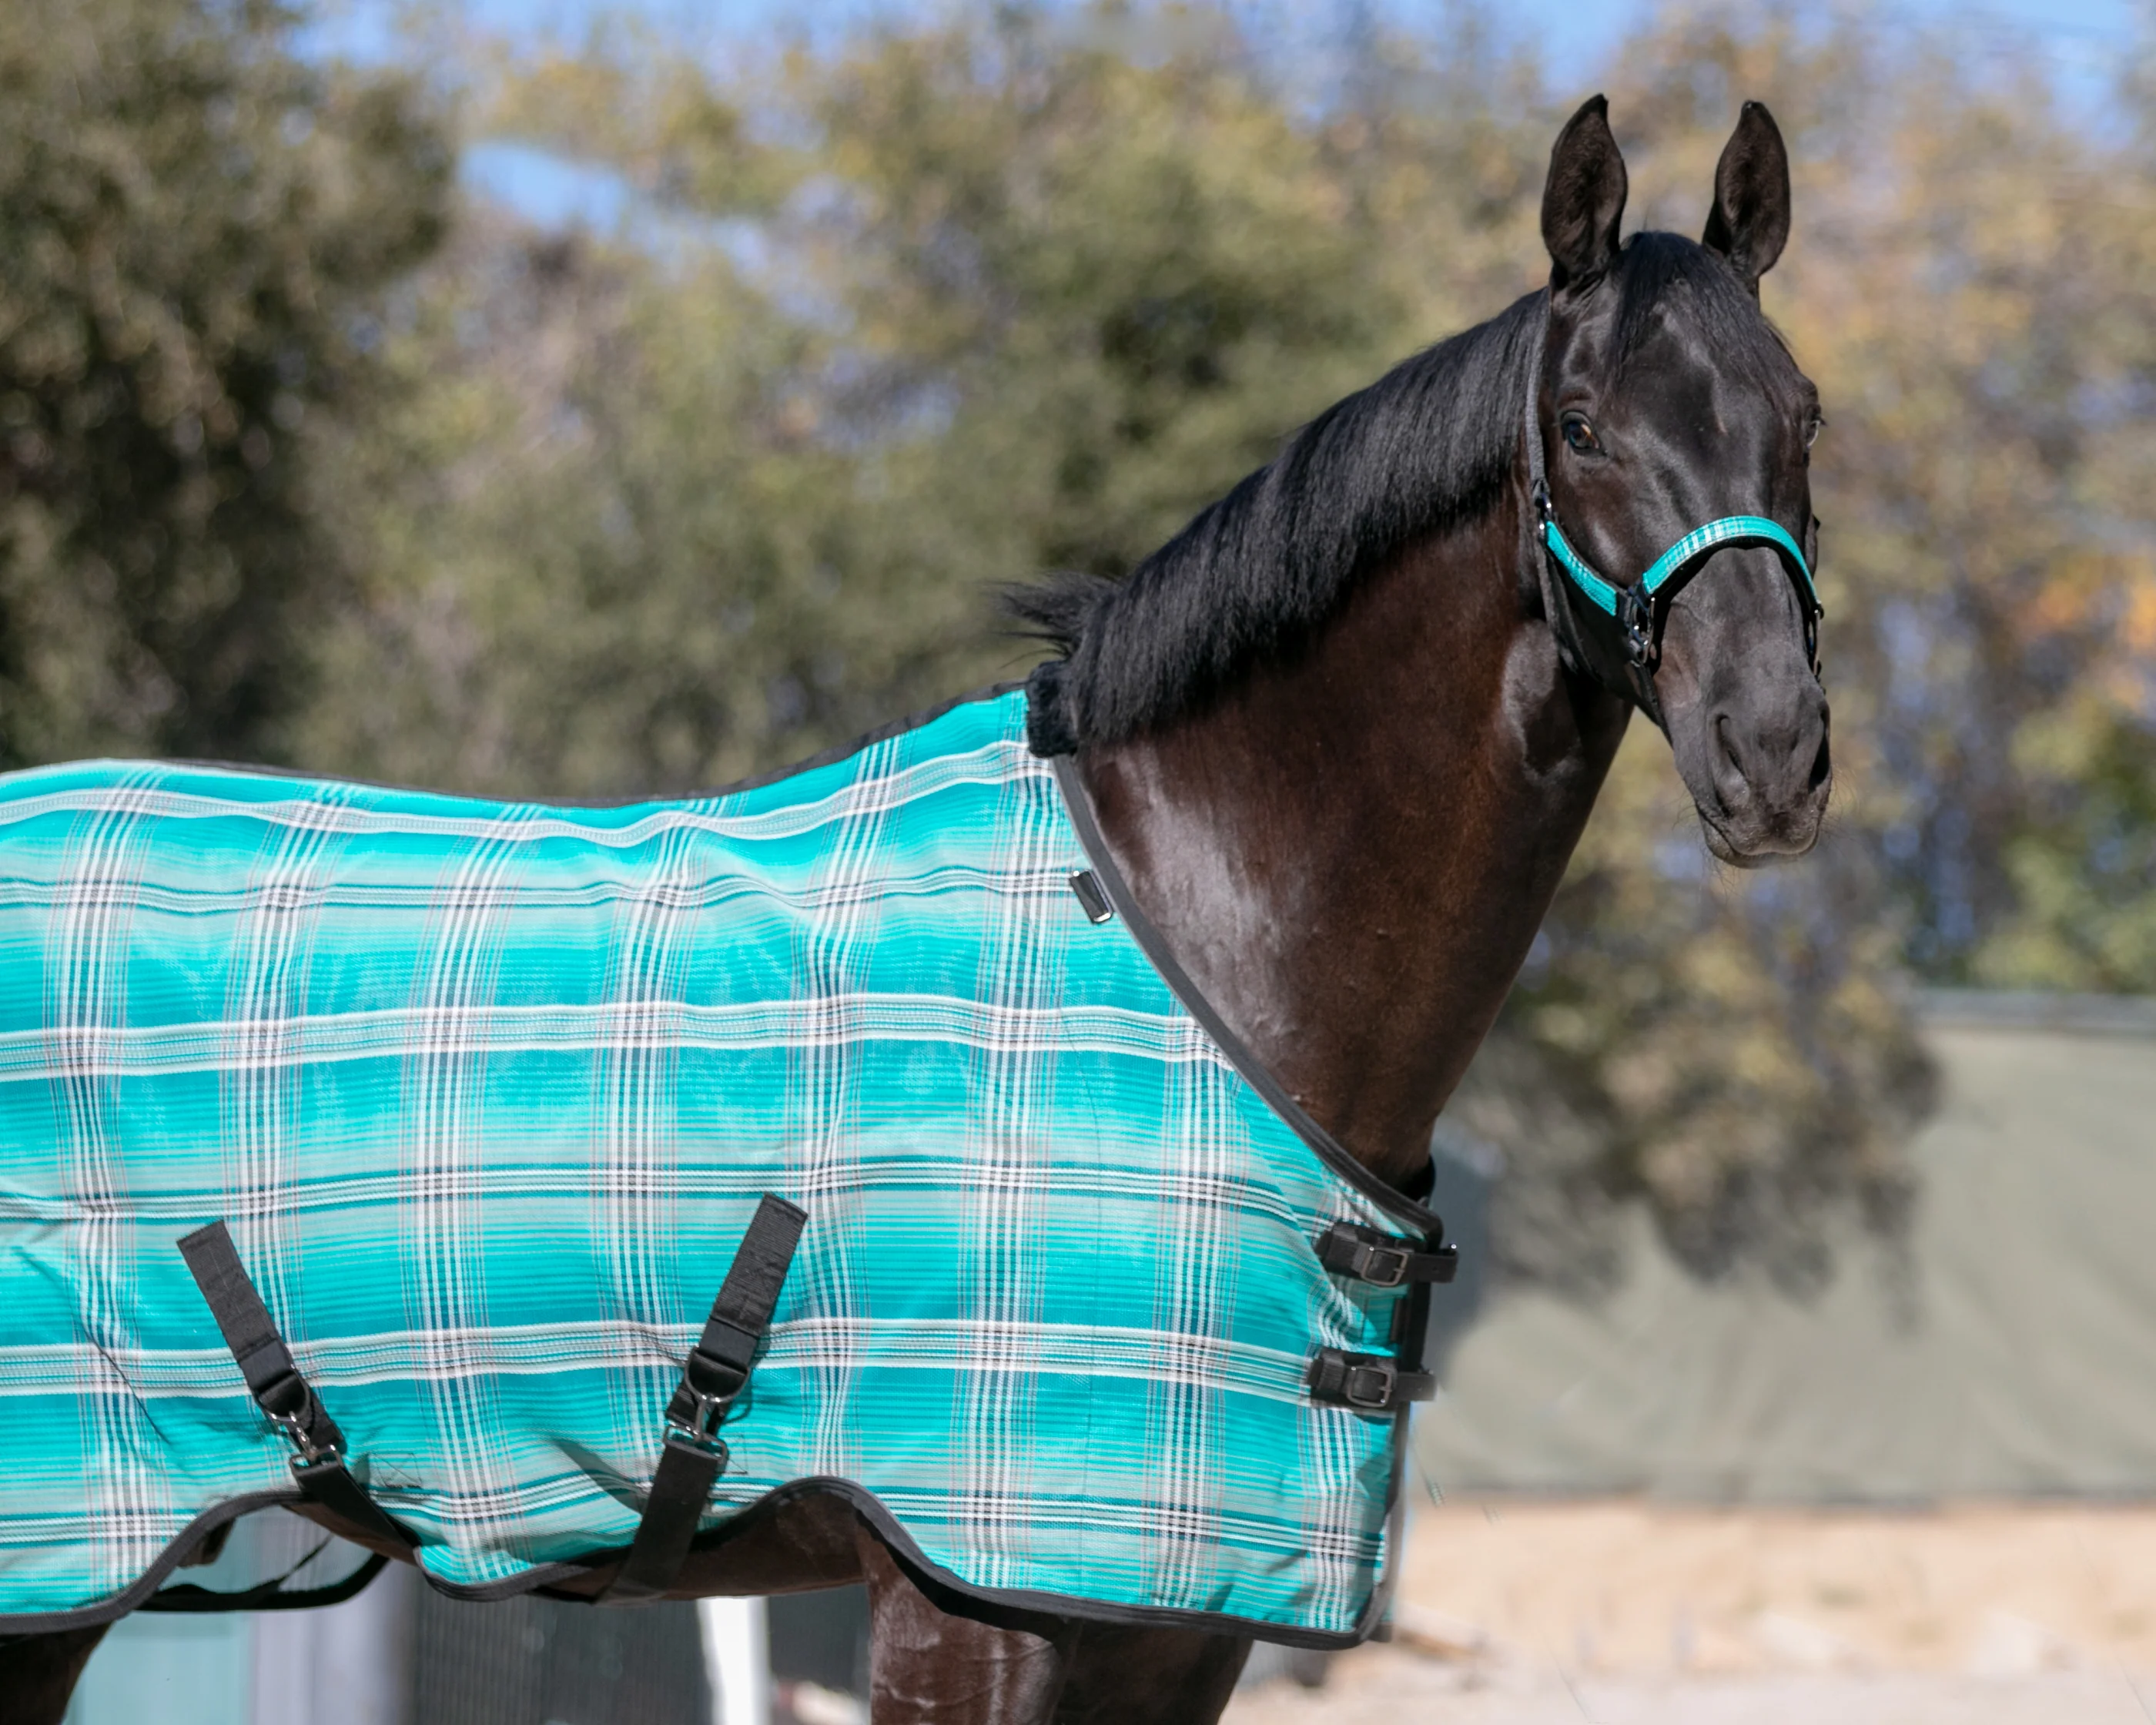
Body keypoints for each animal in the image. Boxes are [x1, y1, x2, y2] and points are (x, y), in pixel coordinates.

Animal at [2, 94, 1830, 1724]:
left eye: (1800, 416)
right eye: (1581, 422)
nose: (1772, 750)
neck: (1192, 944)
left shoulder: (1170, 1634)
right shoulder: (970, 1606)